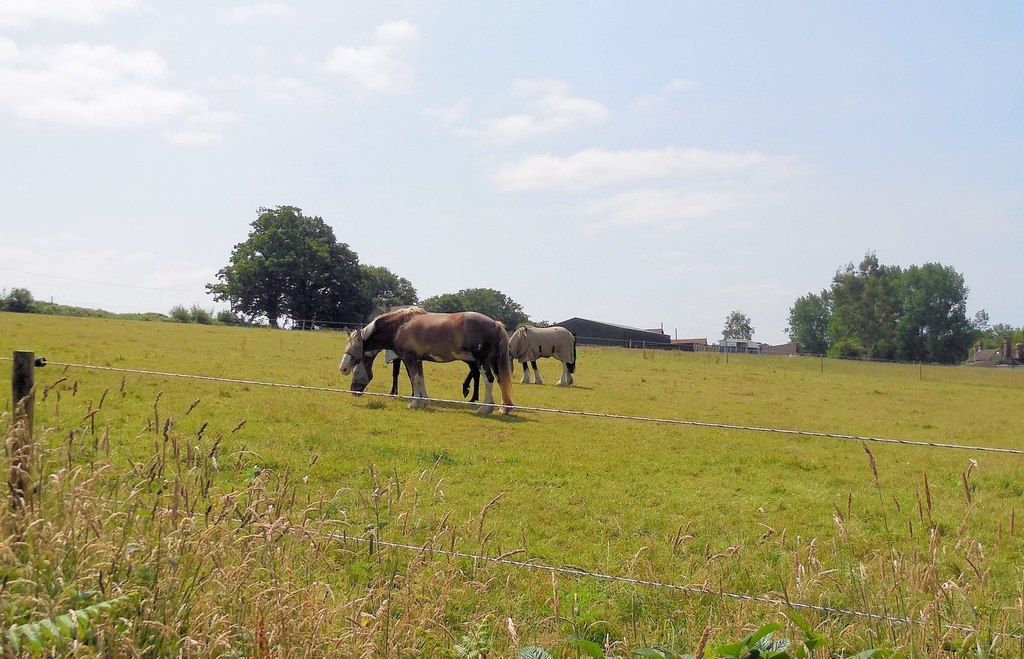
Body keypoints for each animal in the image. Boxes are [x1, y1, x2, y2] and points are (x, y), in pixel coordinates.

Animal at [342, 306, 516, 415]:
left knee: (489, 380)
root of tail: (496, 324)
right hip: (494, 362)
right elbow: (420, 378)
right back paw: (504, 408)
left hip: (483, 361)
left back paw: (484, 409)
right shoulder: (417, 359)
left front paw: (414, 403)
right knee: (500, 381)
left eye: (354, 349)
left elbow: (414, 378)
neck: (400, 326)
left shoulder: (409, 358)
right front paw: (424, 401)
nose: (343, 369)